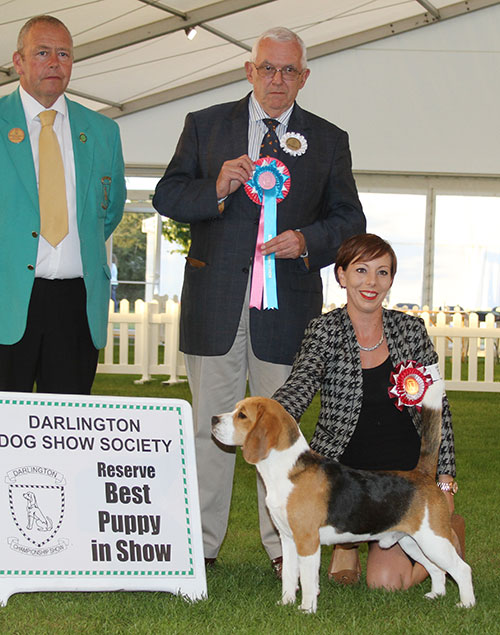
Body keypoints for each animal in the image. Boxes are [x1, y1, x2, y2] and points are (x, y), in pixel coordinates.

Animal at [209, 380, 474, 612]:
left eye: (242, 415)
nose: (213, 418)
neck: (285, 469)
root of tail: (422, 474)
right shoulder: (288, 539)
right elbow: (289, 576)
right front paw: (285, 603)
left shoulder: (307, 541)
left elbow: (307, 580)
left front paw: (306, 609)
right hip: (412, 542)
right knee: (437, 569)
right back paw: (436, 595)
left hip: (434, 539)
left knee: (462, 569)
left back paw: (466, 604)